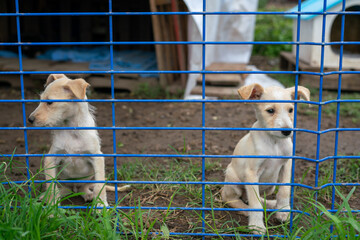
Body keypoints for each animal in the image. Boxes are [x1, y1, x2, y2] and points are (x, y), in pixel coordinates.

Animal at [28, 74, 129, 207]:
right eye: (40, 99)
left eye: (49, 102)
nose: (30, 119)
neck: (72, 130)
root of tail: (73, 189)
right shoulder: (51, 158)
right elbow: (51, 185)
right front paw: (52, 207)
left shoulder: (97, 157)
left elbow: (99, 186)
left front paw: (102, 205)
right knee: (61, 188)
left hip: (89, 177)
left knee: (85, 188)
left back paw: (88, 195)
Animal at [221, 83, 310, 233]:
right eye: (270, 110)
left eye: (291, 110)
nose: (287, 131)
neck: (274, 142)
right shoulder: (251, 173)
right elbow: (255, 204)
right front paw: (256, 225)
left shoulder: (287, 164)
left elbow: (284, 190)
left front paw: (283, 210)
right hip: (233, 180)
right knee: (231, 198)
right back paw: (245, 210)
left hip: (270, 187)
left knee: (252, 198)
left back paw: (272, 204)